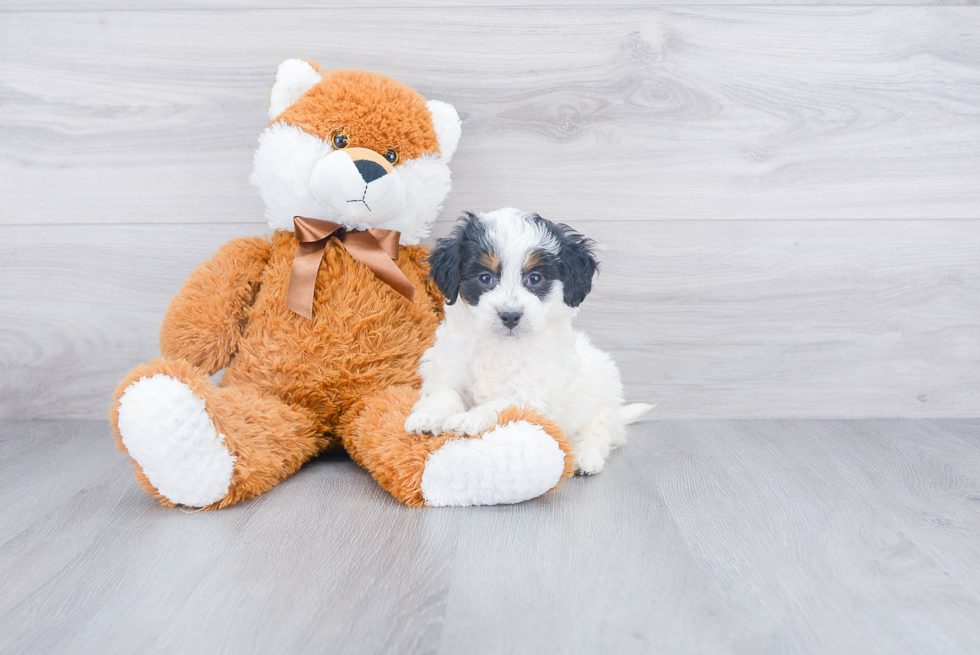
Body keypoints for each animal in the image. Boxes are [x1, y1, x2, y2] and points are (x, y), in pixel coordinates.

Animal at [406, 208, 652, 474]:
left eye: (535, 278)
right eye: (485, 278)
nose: (510, 315)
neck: (501, 347)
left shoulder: (533, 393)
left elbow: (502, 403)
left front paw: (471, 417)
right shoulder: (449, 370)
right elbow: (445, 394)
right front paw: (429, 416)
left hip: (599, 403)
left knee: (598, 432)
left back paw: (586, 458)